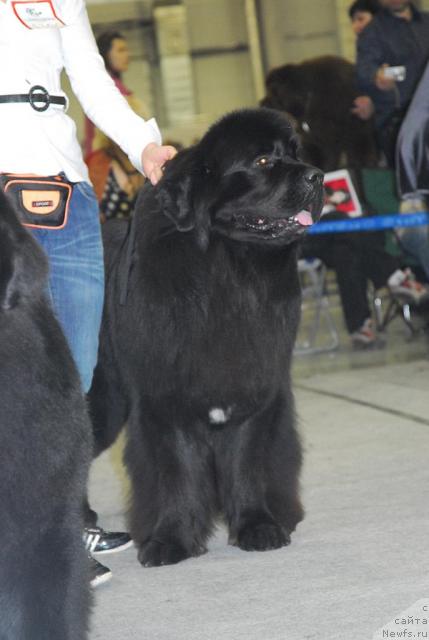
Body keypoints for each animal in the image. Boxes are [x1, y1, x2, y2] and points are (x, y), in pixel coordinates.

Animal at [91, 107, 324, 568]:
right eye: (263, 161)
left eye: (295, 153)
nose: (318, 176)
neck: (226, 277)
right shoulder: (166, 400)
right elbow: (177, 470)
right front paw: (170, 541)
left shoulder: (254, 391)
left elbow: (247, 463)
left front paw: (258, 527)